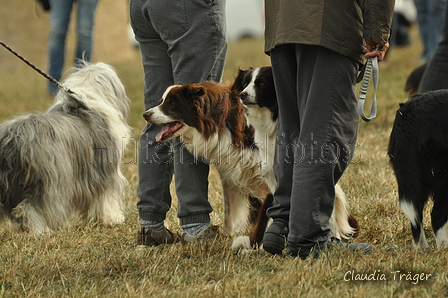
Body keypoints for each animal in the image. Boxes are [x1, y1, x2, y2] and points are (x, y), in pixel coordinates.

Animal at [0, 61, 131, 234]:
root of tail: (14, 138)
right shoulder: (105, 174)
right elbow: (107, 198)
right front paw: (113, 219)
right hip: (48, 181)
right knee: (31, 208)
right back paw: (40, 231)